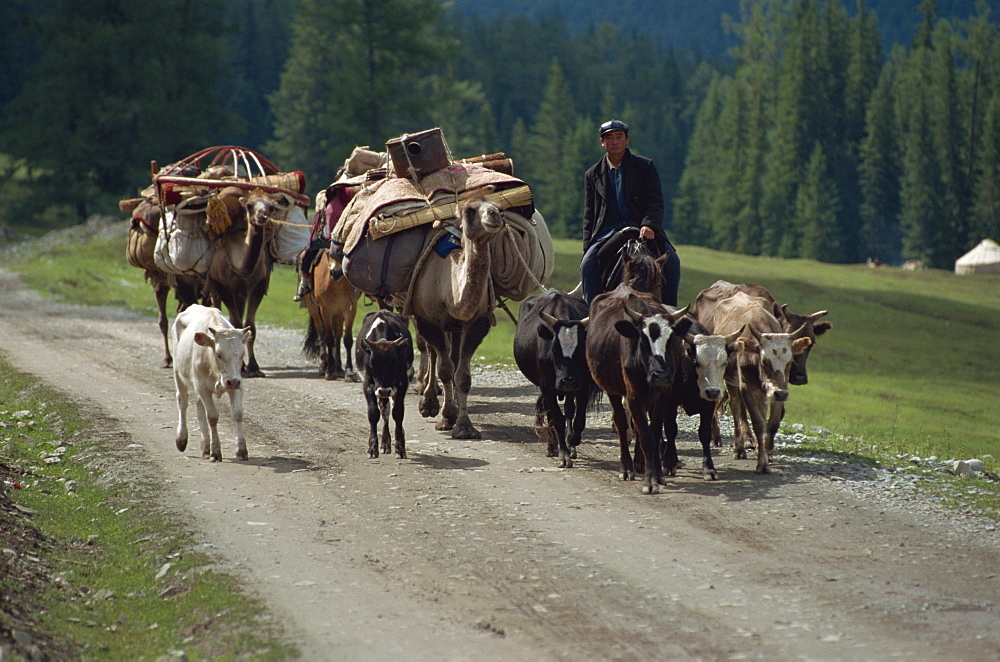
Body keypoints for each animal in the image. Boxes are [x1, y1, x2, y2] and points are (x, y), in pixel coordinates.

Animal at [170, 304, 252, 462]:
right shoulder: (202, 387)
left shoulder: (238, 384)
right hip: (178, 371)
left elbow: (238, 413)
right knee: (182, 401)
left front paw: (241, 450)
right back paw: (181, 439)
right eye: (219, 354)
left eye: (242, 355)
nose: (232, 382)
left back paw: (205, 447)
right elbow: (212, 416)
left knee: (199, 407)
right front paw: (216, 451)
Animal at [584, 286, 696, 492]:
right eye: (643, 341)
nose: (661, 375)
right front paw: (650, 481)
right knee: (622, 424)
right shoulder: (633, 395)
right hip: (613, 391)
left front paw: (657, 474)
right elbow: (646, 437)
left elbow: (654, 432)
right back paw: (627, 468)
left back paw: (639, 462)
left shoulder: (663, 394)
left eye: (671, 340)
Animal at [696, 294, 812, 474]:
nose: (780, 393)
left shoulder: (779, 389)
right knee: (736, 408)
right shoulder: (747, 388)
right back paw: (739, 448)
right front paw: (761, 463)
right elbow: (758, 423)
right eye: (764, 361)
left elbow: (771, 423)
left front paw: (767, 452)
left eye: (790, 361)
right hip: (731, 382)